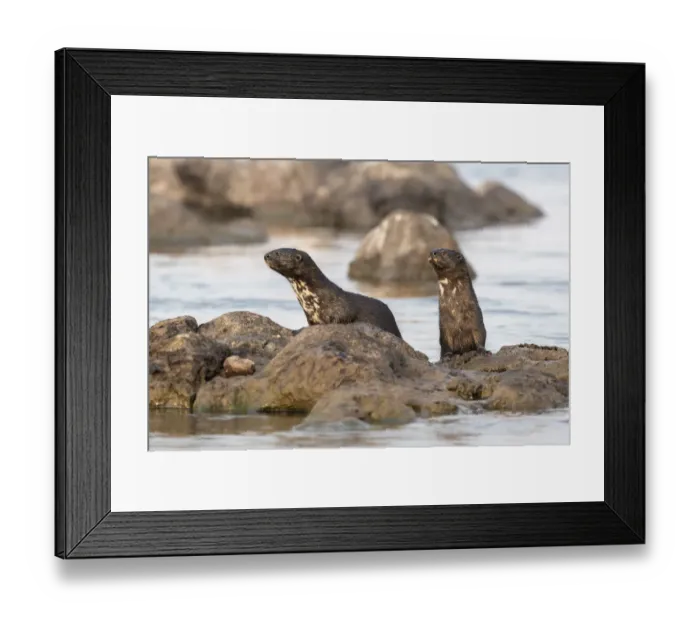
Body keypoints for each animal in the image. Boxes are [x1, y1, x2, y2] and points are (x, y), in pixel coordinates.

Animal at [264, 248, 403, 339]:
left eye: (277, 253)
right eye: (274, 250)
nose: (266, 255)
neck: (311, 299)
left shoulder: (342, 310)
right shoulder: (311, 318)